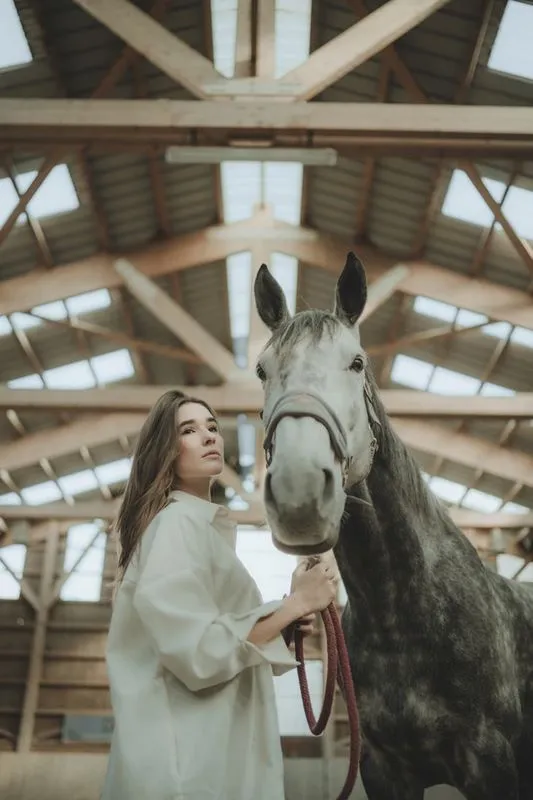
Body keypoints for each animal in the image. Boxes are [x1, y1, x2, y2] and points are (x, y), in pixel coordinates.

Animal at [251, 253, 532, 800]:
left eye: (356, 362)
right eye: (261, 370)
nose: (298, 490)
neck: (401, 613)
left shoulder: (493, 766)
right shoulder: (384, 769)